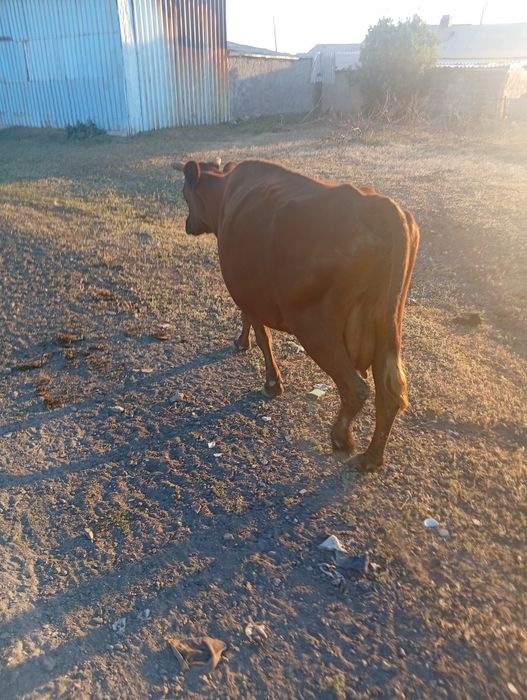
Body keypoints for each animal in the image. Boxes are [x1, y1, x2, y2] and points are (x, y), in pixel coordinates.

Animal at [173, 158, 419, 472]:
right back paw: (371, 458)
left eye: (184, 193)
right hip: (387, 327)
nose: (187, 224)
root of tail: (378, 205)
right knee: (391, 392)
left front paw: (271, 382)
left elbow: (262, 335)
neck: (225, 192)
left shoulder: (249, 291)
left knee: (356, 389)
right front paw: (242, 343)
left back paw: (341, 438)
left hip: (316, 328)